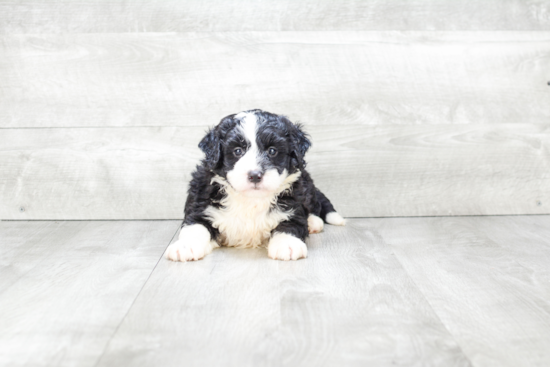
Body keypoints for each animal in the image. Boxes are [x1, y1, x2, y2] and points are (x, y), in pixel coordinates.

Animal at [166, 108, 344, 262]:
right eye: (238, 151)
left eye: (272, 151)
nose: (255, 175)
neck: (250, 200)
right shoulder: (201, 202)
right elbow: (195, 226)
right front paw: (185, 246)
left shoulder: (293, 203)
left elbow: (290, 223)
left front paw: (287, 244)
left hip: (306, 185)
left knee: (314, 205)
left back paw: (313, 222)